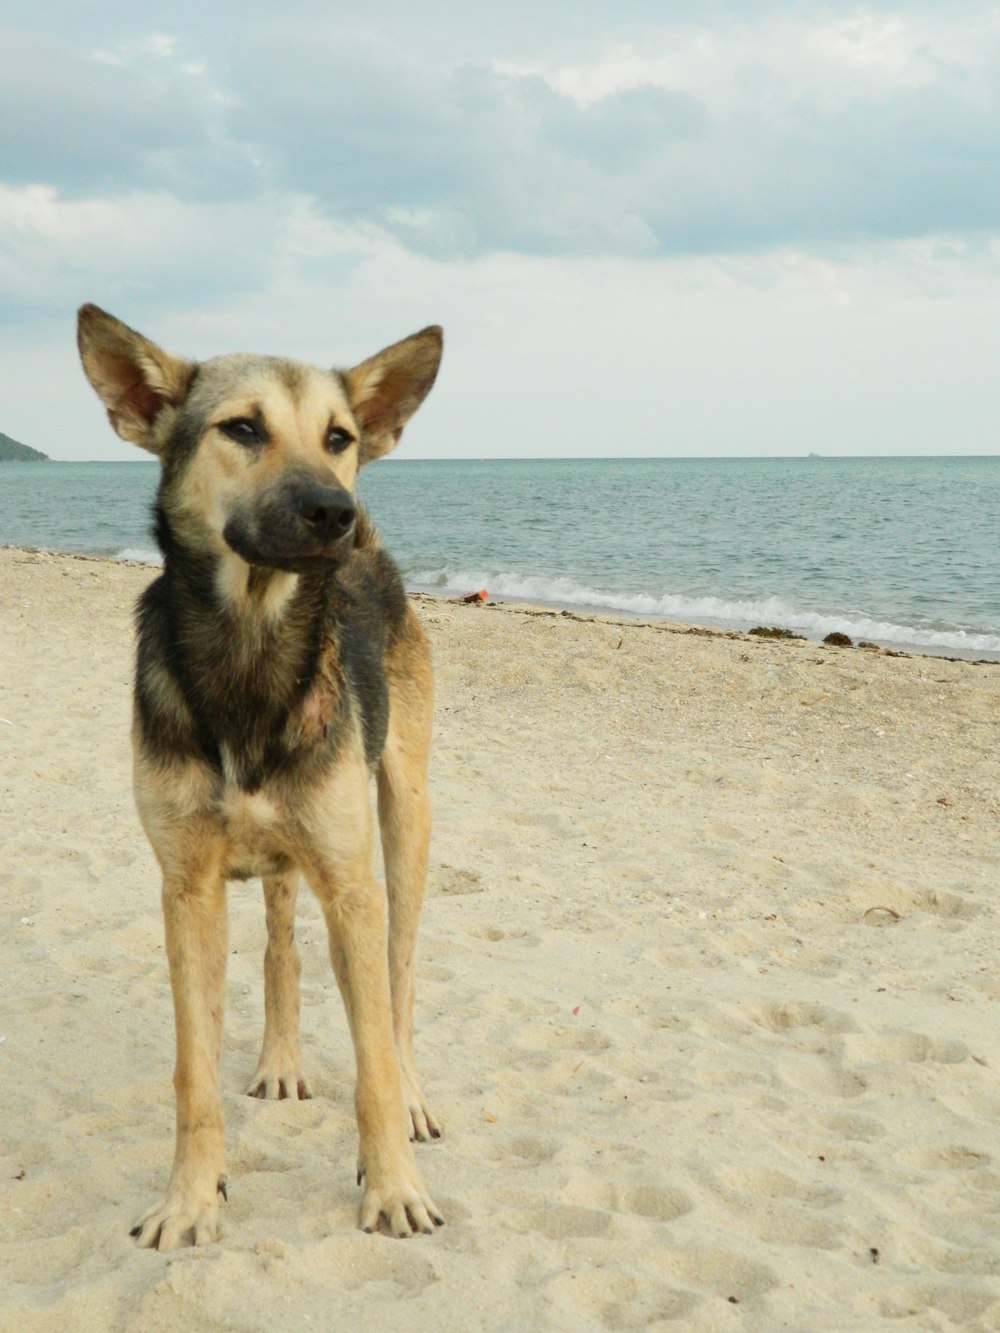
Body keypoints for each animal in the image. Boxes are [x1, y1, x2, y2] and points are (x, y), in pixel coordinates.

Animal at [80, 302, 448, 1247]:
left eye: (339, 436)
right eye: (243, 428)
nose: (335, 511)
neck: (249, 652)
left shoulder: (353, 884)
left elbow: (374, 1059)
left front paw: (393, 1185)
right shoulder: (187, 886)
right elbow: (192, 1074)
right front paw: (189, 1198)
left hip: (403, 820)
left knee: (400, 981)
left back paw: (415, 1096)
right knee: (283, 947)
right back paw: (281, 1057)